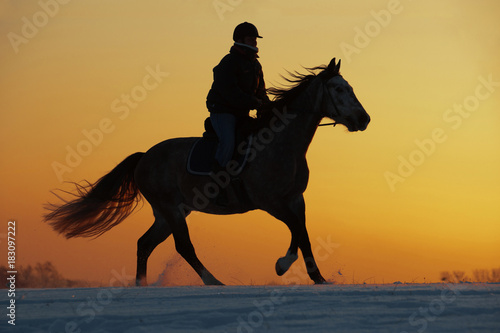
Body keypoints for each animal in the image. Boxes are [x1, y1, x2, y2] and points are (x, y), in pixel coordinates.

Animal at [45, 57, 370, 286]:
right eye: (339, 89)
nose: (363, 119)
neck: (282, 144)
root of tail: (144, 157)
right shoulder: (270, 202)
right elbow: (296, 230)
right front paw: (282, 266)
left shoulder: (294, 200)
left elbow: (303, 233)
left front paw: (318, 278)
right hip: (171, 209)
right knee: (183, 246)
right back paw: (214, 282)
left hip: (169, 213)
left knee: (144, 244)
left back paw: (142, 286)